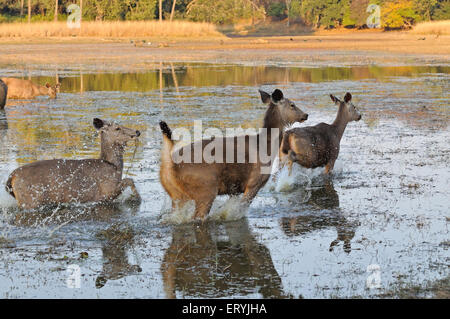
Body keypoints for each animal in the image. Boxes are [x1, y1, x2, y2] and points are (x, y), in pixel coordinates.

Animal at [5, 117, 141, 210]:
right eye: (117, 128)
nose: (137, 131)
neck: (113, 166)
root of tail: (11, 177)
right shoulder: (106, 191)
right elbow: (129, 180)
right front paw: (137, 198)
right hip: (30, 200)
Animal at [159, 89, 310, 221]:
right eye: (292, 105)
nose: (306, 115)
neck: (266, 148)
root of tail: (170, 166)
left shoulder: (234, 189)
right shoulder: (253, 183)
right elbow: (240, 211)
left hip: (176, 196)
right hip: (206, 190)